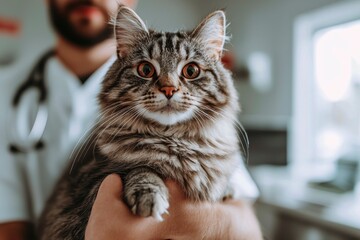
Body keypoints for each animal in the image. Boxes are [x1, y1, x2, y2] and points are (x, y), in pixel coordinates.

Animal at [39, 5, 248, 240]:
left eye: (191, 71)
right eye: (145, 70)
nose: (169, 89)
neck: (175, 141)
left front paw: (228, 190)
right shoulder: (85, 191)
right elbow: (139, 170)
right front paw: (148, 194)